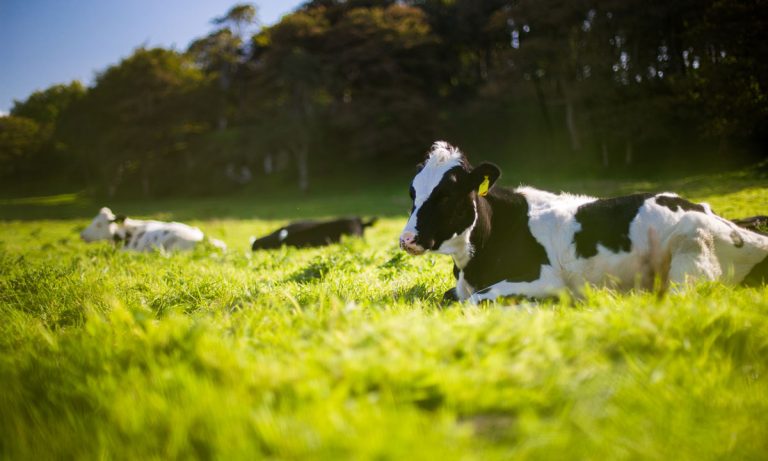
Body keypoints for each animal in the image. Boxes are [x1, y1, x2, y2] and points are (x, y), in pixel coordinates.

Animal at [399, 141, 768, 304]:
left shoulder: (543, 279)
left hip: (690, 259)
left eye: (446, 194)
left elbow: (475, 300)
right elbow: (452, 297)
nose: (406, 239)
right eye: (412, 191)